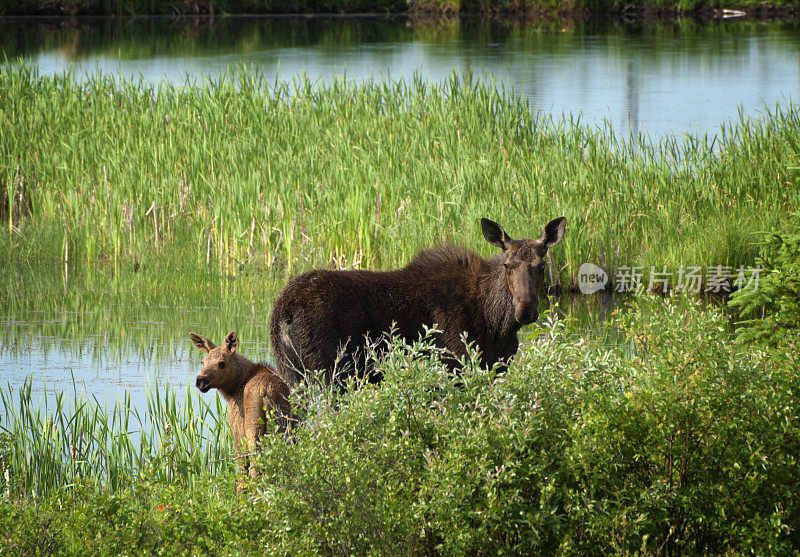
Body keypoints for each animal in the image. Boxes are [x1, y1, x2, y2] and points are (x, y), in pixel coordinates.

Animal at [190, 330, 290, 486]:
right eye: (203, 362)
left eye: (222, 363)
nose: (200, 381)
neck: (232, 389)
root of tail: (264, 389)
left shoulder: (237, 431)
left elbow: (242, 471)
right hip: (282, 426)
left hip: (253, 427)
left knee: (255, 467)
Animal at [272, 215, 564, 388]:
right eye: (507, 265)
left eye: (541, 265)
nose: (525, 311)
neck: (496, 323)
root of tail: (282, 313)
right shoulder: (455, 363)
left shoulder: (498, 366)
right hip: (331, 374)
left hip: (292, 375)